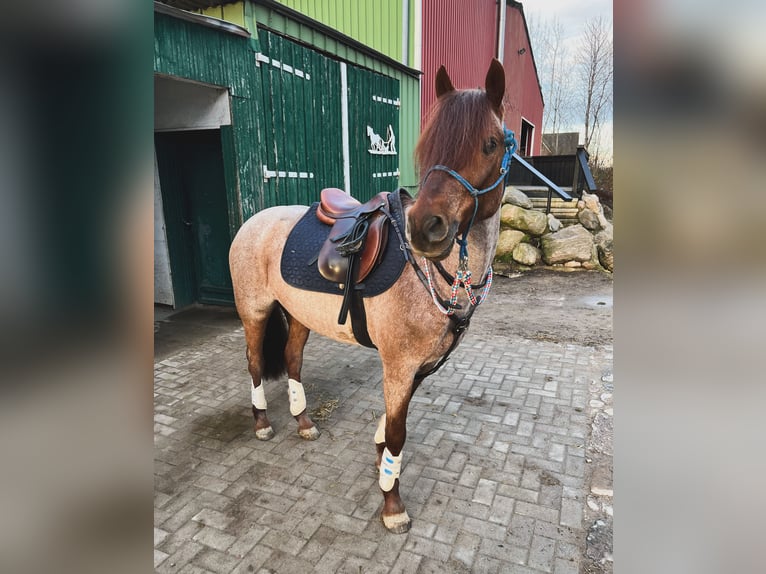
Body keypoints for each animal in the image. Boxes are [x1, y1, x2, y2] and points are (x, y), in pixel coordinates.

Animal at [228, 59, 516, 536]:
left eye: (490, 144)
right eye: (428, 146)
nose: (426, 229)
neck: (436, 279)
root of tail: (255, 221)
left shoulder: (418, 366)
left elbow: (391, 425)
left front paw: (382, 462)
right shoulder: (398, 363)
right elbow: (398, 431)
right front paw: (391, 502)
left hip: (299, 315)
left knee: (292, 361)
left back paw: (303, 422)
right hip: (255, 311)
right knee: (254, 364)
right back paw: (264, 423)